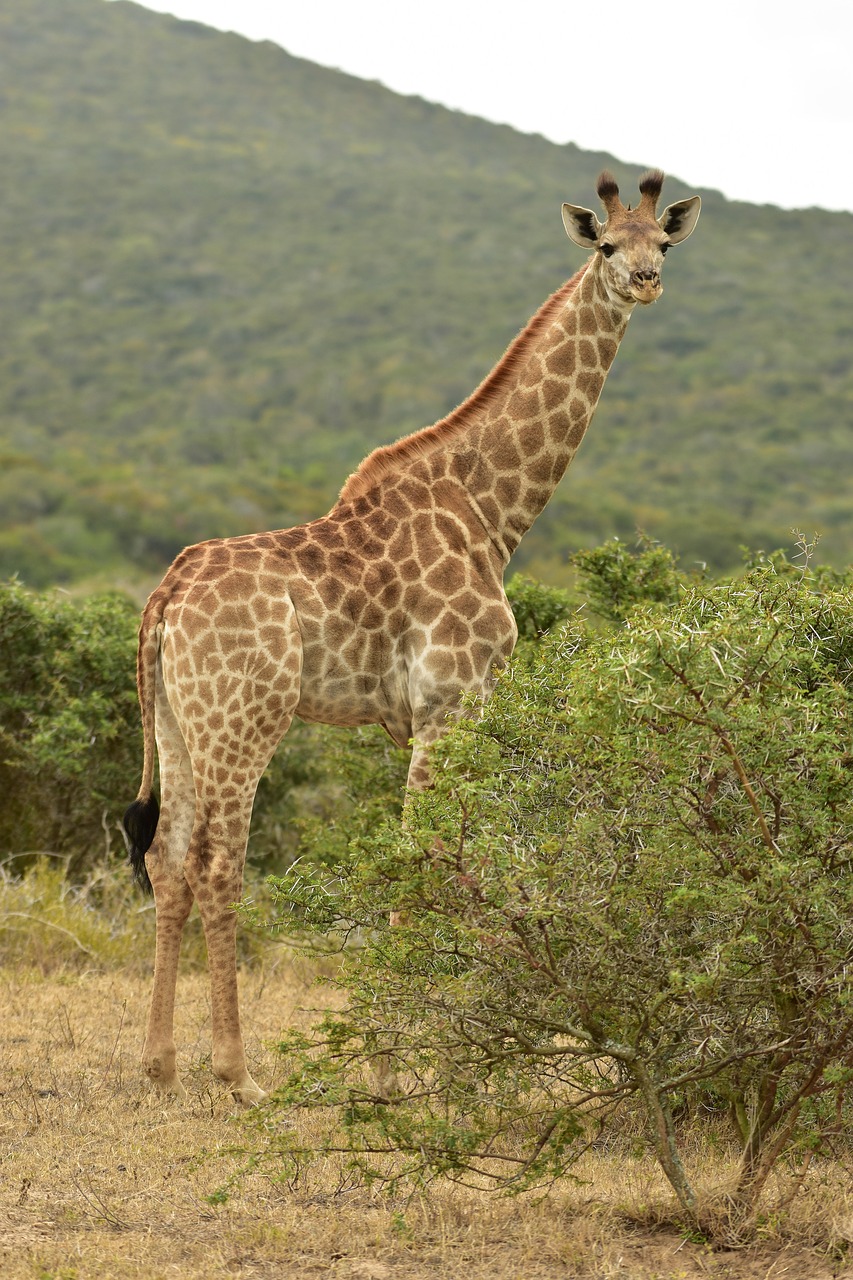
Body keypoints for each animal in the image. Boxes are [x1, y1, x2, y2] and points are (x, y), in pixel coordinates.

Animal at [124, 170, 696, 1105]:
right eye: (608, 246)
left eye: (665, 243)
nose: (645, 281)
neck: (491, 512)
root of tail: (162, 601)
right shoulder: (451, 700)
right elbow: (425, 864)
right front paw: (399, 1064)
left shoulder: (419, 719)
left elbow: (462, 861)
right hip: (243, 717)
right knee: (216, 862)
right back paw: (238, 1074)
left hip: (175, 719)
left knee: (169, 859)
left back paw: (161, 1066)